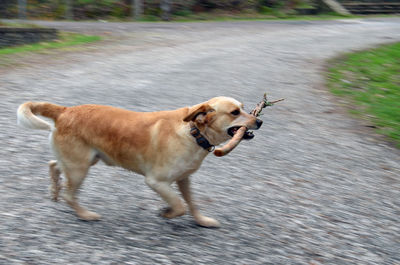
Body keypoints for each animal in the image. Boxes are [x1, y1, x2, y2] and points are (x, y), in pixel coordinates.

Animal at [17, 97, 262, 227]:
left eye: (243, 107)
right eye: (235, 112)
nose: (259, 121)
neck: (193, 132)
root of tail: (65, 111)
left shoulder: (184, 179)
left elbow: (191, 204)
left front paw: (202, 221)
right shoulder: (156, 181)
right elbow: (180, 205)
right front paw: (167, 212)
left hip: (82, 161)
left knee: (53, 165)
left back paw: (54, 191)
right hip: (79, 168)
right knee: (70, 194)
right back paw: (85, 215)